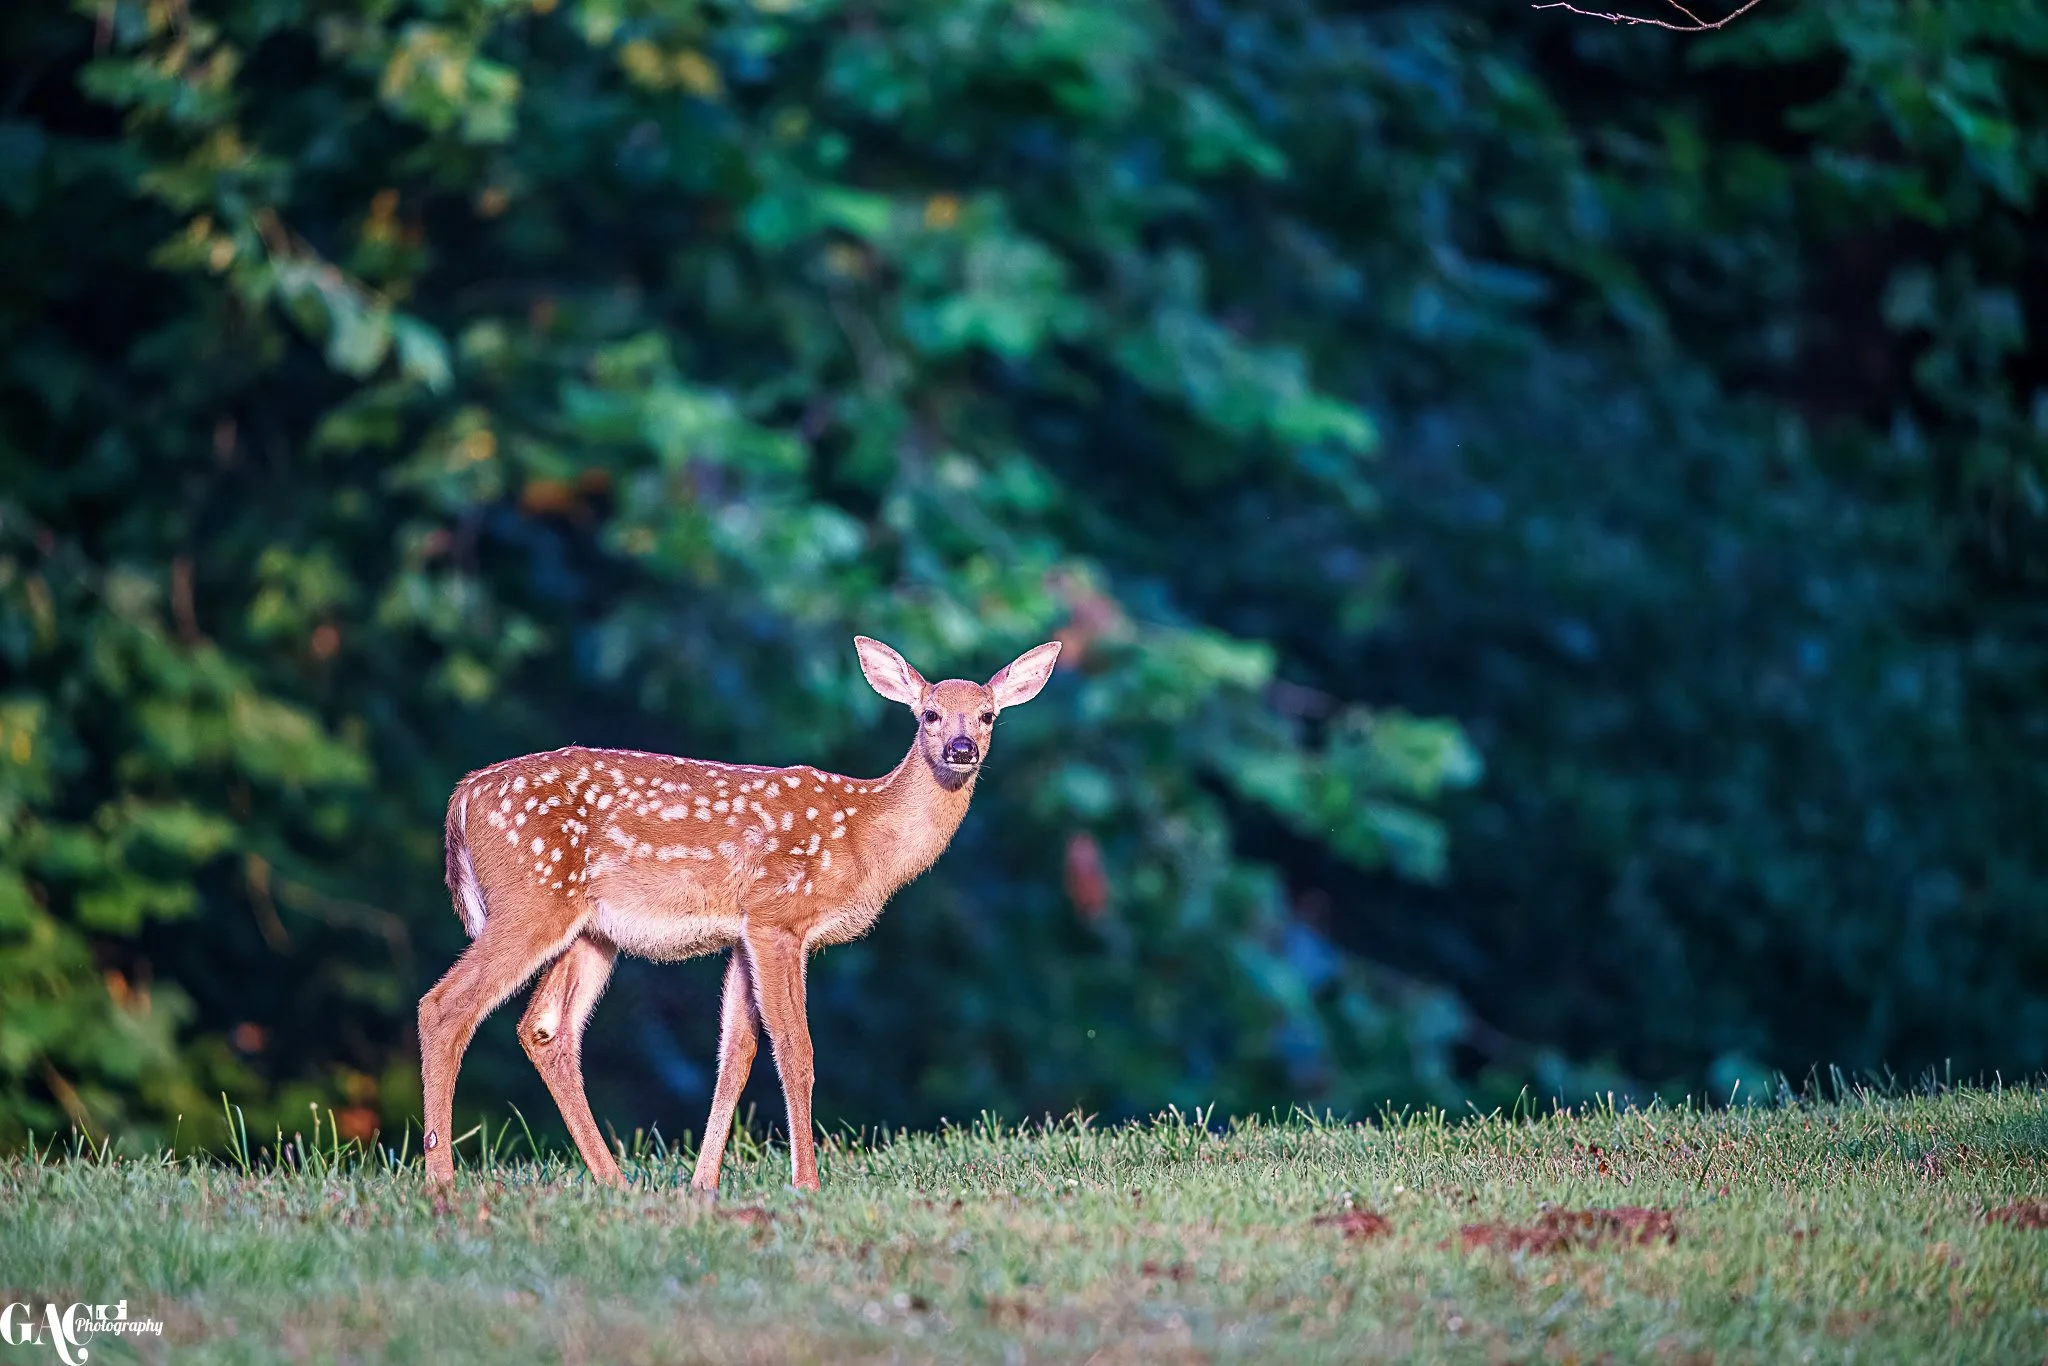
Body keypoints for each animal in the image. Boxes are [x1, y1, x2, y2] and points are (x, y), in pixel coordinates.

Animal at [417, 635, 1062, 1192]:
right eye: (929, 714)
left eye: (987, 716)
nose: (961, 750)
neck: (864, 837)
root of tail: (463, 795)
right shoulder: (779, 916)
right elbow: (796, 1051)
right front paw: (806, 1184)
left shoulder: (742, 933)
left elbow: (736, 1055)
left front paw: (703, 1185)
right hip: (530, 898)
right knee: (445, 1006)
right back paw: (442, 1182)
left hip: (590, 930)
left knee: (546, 1029)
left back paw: (614, 1183)